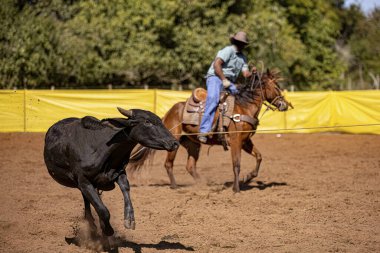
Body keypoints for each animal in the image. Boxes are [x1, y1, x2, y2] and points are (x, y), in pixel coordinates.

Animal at [42, 107, 179, 240]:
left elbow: (125, 188)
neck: (102, 147)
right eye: (147, 122)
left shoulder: (119, 173)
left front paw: (129, 219)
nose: (174, 143)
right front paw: (108, 230)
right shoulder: (84, 181)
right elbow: (103, 210)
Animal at [130, 69, 290, 192]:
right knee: (168, 164)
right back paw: (175, 186)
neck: (243, 107)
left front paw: (248, 177)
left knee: (190, 166)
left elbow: (259, 157)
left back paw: (205, 184)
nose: (284, 105)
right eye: (276, 86)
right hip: (173, 142)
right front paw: (236, 188)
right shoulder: (236, 140)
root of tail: (168, 113)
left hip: (193, 144)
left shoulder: (245, 141)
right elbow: (236, 164)